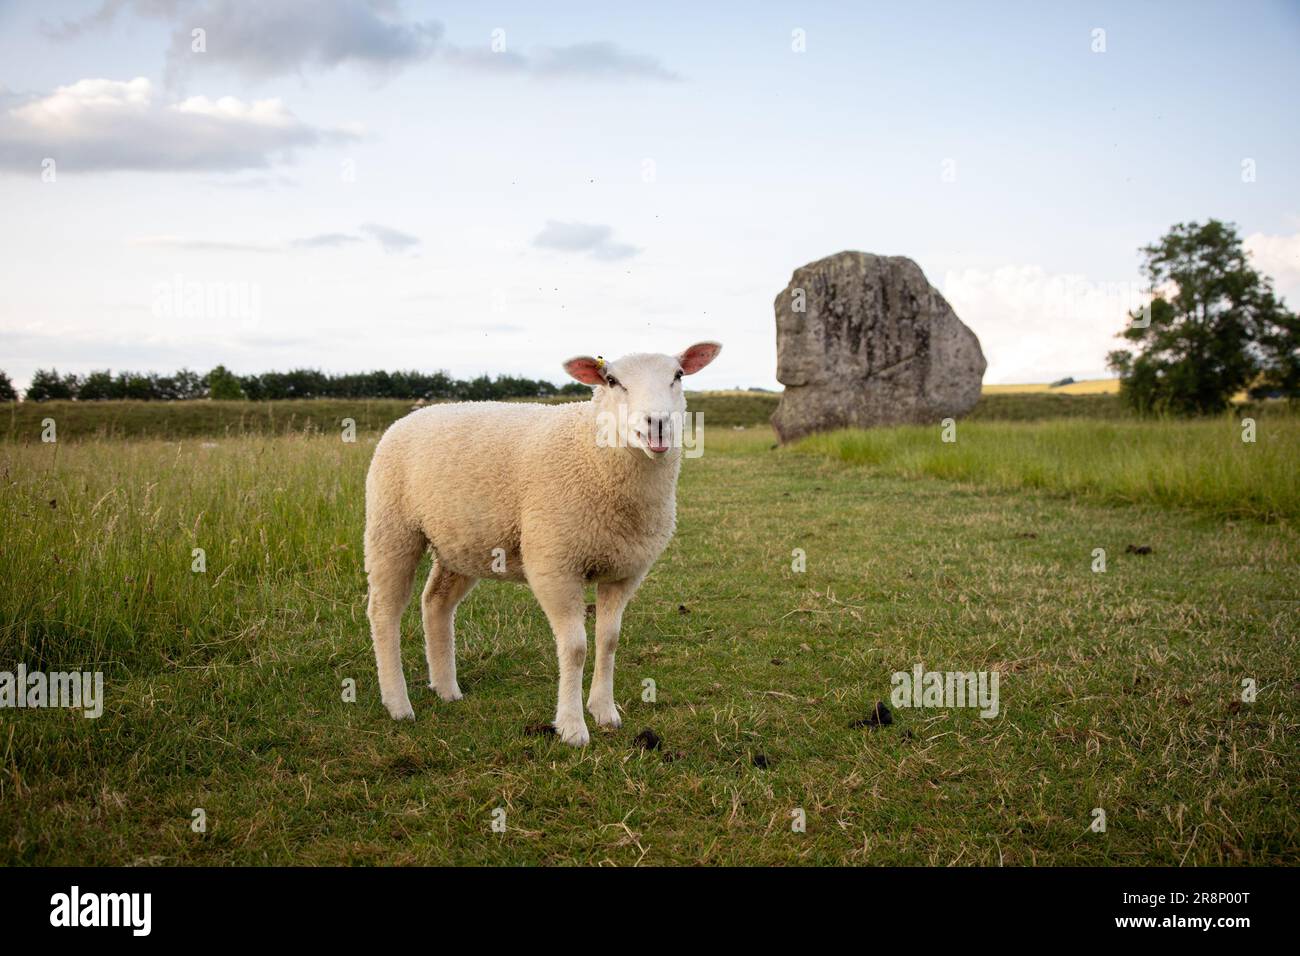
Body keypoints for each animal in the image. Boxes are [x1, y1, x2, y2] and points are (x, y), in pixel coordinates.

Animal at [363, 342, 722, 745]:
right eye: (612, 381)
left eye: (678, 375)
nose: (657, 423)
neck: (594, 455)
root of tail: (411, 416)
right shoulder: (554, 563)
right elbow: (575, 647)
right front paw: (572, 727)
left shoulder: (625, 571)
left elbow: (609, 640)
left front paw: (605, 711)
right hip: (392, 527)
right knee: (384, 611)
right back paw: (397, 702)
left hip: (460, 543)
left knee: (435, 603)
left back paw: (446, 688)